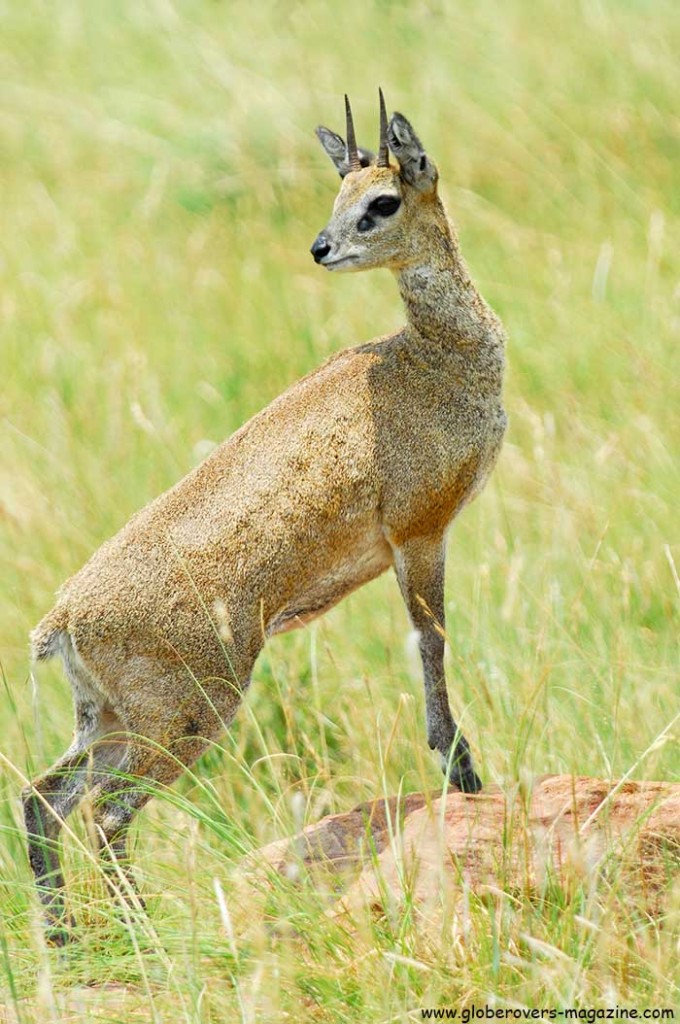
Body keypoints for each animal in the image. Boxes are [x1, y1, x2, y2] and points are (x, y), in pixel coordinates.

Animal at [23, 92, 507, 937]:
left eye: (381, 199)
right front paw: (462, 773)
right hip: (187, 715)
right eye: (342, 195)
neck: (429, 359)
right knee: (105, 814)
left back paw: (68, 940)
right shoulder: (419, 532)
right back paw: (143, 935)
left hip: (106, 718)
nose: (321, 248)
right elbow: (433, 646)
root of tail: (63, 619)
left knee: (43, 799)